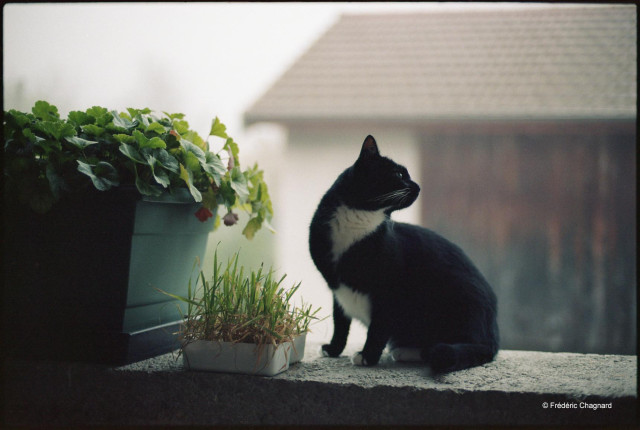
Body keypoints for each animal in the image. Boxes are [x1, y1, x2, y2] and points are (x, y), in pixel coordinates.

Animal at [308, 135, 498, 372]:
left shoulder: (390, 291)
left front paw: (367, 356)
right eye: (399, 174)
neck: (358, 222)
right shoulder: (337, 289)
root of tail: (493, 338)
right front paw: (333, 349)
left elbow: (378, 328)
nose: (418, 186)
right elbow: (340, 322)